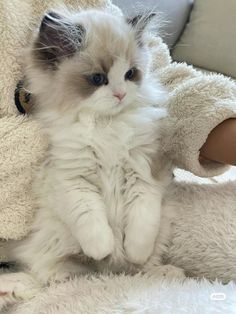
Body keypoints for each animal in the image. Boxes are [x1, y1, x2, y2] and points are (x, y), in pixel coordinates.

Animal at [0, 8, 184, 308]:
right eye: (98, 79)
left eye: (130, 74)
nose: (120, 94)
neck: (106, 125)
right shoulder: (73, 176)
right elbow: (92, 221)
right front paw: (103, 247)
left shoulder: (143, 172)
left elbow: (141, 225)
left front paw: (134, 250)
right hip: (56, 249)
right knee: (44, 276)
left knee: (138, 269)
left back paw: (165, 272)